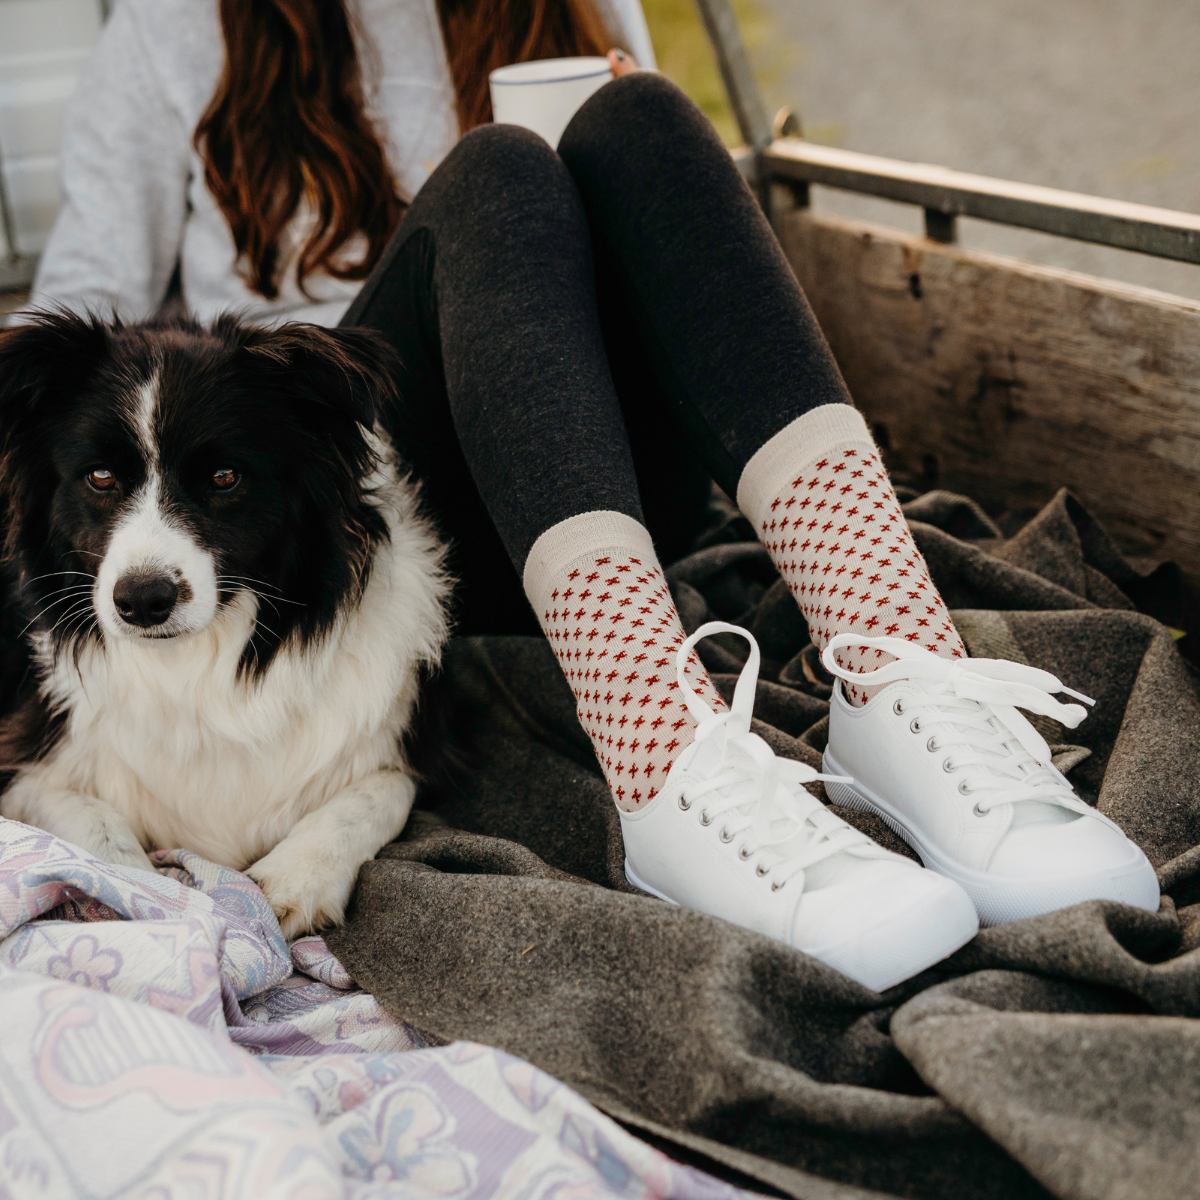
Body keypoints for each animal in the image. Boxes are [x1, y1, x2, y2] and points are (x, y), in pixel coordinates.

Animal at [0, 312, 448, 936]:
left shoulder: (406, 745)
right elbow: (88, 825)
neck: (198, 664)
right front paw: (144, 895)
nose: (143, 600)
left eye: (224, 477)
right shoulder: (28, 758)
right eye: (100, 476)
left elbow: (380, 792)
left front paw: (295, 877)